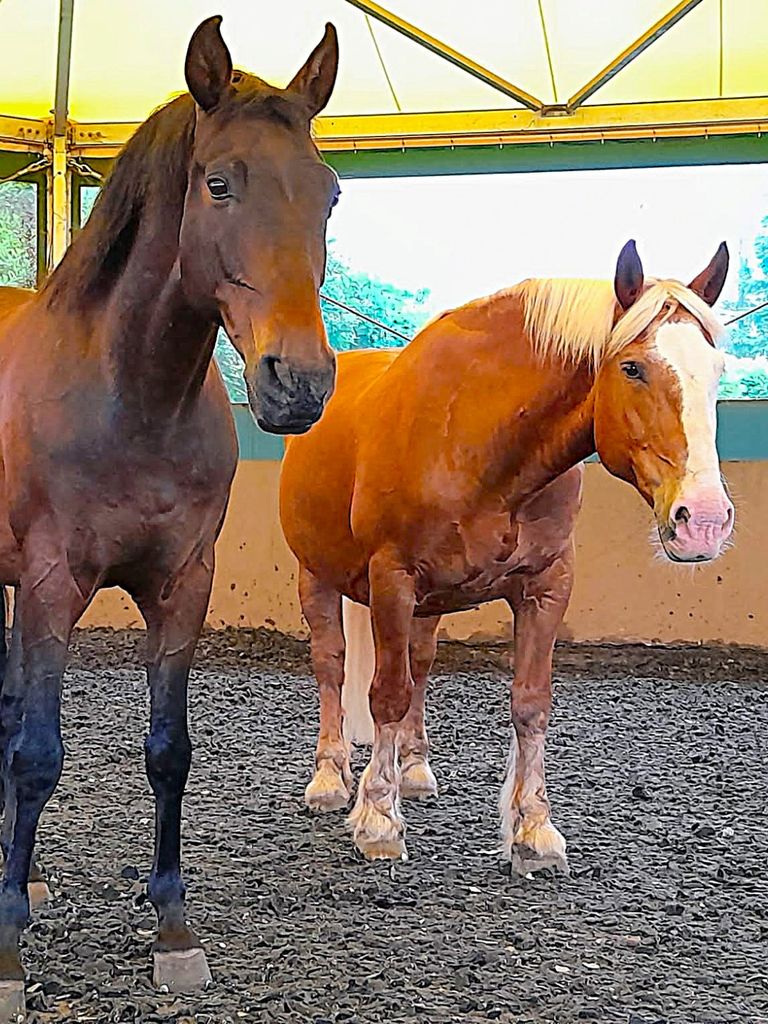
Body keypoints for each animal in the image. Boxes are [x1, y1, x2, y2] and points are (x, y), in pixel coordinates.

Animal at [0, 15, 339, 1009]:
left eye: (331, 195)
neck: (130, 398)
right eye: (218, 182)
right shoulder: (51, 584)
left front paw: (173, 926)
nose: (300, 382)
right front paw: (7, 947)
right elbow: (38, 750)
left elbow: (169, 750)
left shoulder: (184, 585)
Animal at [279, 240, 734, 872]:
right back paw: (330, 779)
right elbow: (386, 694)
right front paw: (377, 818)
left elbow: (530, 703)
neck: (480, 441)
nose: (705, 520)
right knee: (332, 664)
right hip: (317, 577)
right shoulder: (392, 580)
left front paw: (534, 828)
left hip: (427, 606)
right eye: (632, 368)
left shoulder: (546, 587)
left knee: (420, 664)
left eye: (716, 370)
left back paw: (414, 769)